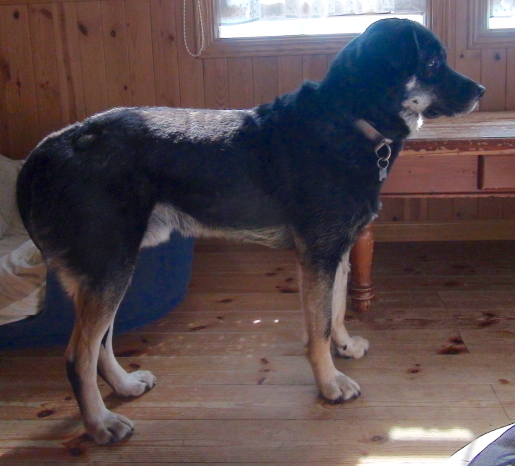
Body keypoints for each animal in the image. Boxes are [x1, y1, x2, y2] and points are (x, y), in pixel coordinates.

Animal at [16, 18, 484, 445]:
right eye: (433, 63)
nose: (480, 90)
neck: (350, 118)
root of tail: (46, 151)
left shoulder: (336, 252)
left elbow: (334, 312)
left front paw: (344, 348)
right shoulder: (317, 257)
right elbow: (316, 330)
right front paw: (329, 384)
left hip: (113, 272)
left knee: (101, 345)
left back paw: (125, 387)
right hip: (110, 269)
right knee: (77, 355)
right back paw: (99, 424)